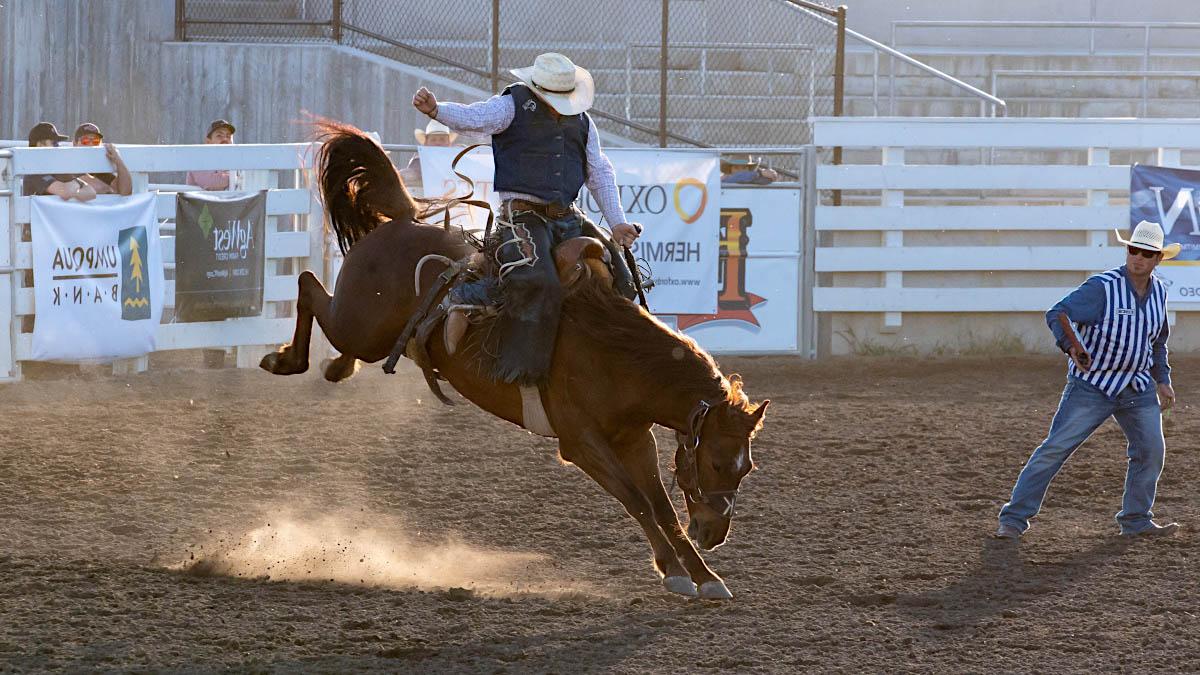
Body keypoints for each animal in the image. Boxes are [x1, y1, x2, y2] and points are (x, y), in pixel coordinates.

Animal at [260, 119, 768, 593]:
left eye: (746, 467)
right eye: (718, 463)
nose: (715, 534)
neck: (614, 358)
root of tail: (404, 220)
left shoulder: (635, 439)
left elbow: (662, 507)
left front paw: (703, 576)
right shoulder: (580, 442)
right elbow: (637, 500)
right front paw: (676, 572)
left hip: (370, 333)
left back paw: (336, 366)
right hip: (358, 322)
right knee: (307, 284)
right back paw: (284, 361)